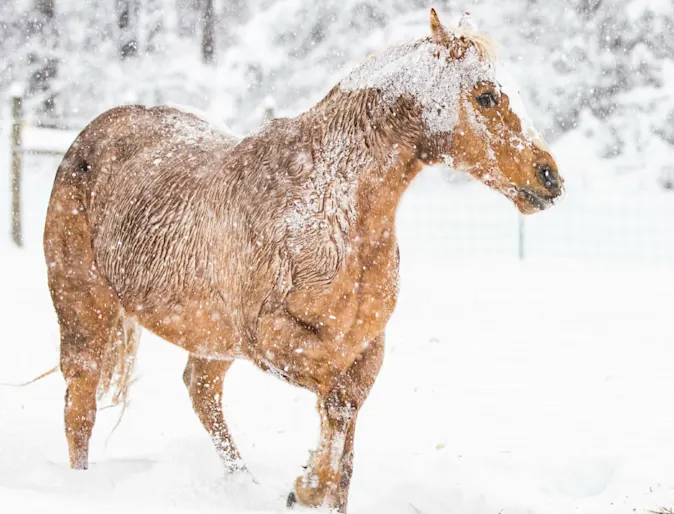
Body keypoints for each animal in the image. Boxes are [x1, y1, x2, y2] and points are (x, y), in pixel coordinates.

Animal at [42, 10, 560, 510]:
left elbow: (345, 429)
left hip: (211, 337)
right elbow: (334, 399)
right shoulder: (273, 339)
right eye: (487, 96)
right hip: (84, 310)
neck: (330, 207)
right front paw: (304, 487)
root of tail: (92, 132)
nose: (550, 177)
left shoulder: (365, 347)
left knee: (201, 391)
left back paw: (243, 485)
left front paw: (311, 487)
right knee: (80, 405)